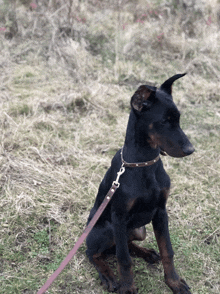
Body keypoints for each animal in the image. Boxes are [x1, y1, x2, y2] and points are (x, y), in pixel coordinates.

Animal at [86, 73, 194, 292]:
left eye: (178, 119)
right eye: (164, 121)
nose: (190, 150)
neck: (144, 164)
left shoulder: (161, 212)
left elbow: (167, 251)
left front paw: (174, 282)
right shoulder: (119, 217)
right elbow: (124, 259)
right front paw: (128, 288)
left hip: (139, 230)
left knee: (122, 245)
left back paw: (146, 253)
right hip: (107, 229)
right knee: (95, 253)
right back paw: (107, 276)